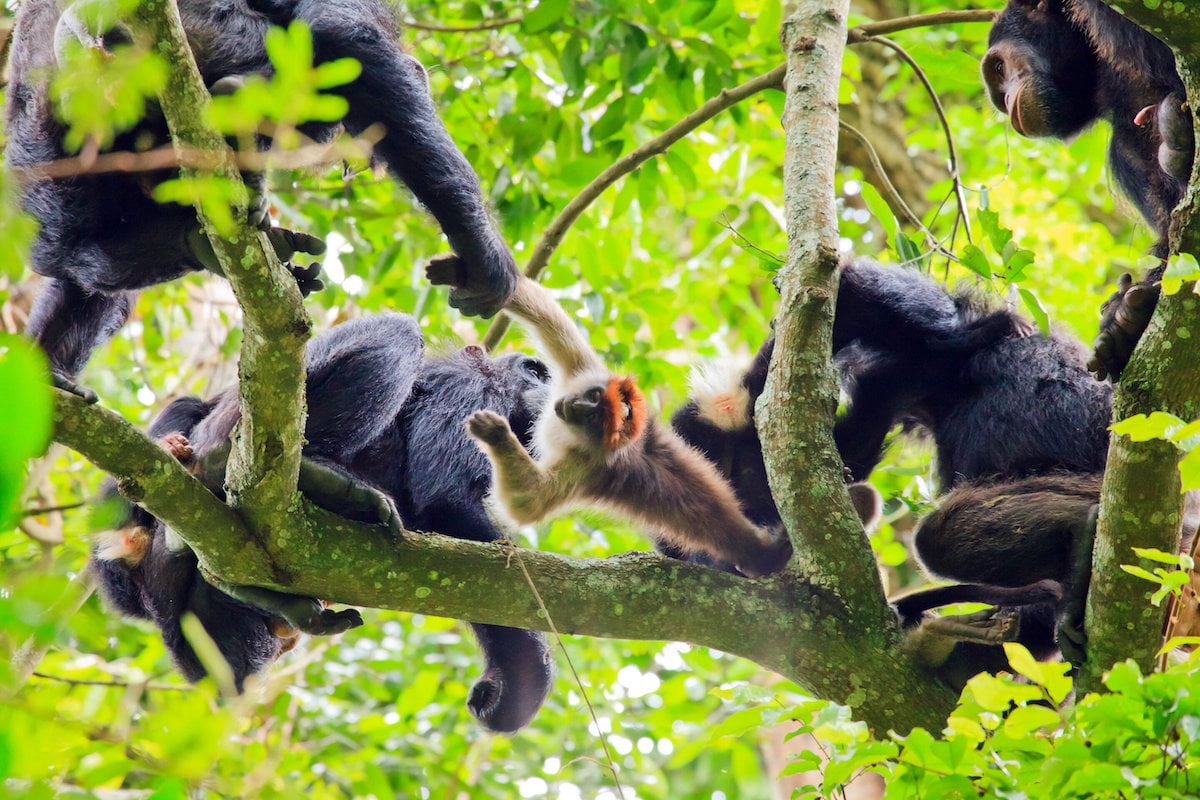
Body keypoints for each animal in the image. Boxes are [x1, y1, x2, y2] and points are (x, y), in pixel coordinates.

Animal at [91, 311, 554, 734]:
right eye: (534, 370)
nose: (548, 390)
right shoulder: (473, 391)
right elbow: (445, 499)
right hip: (235, 423)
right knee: (397, 330)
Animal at [979, 0, 1195, 381]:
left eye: (1000, 66)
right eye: (998, 79)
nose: (1002, 98)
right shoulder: (1126, 142)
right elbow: (1171, 229)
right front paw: (1122, 324)